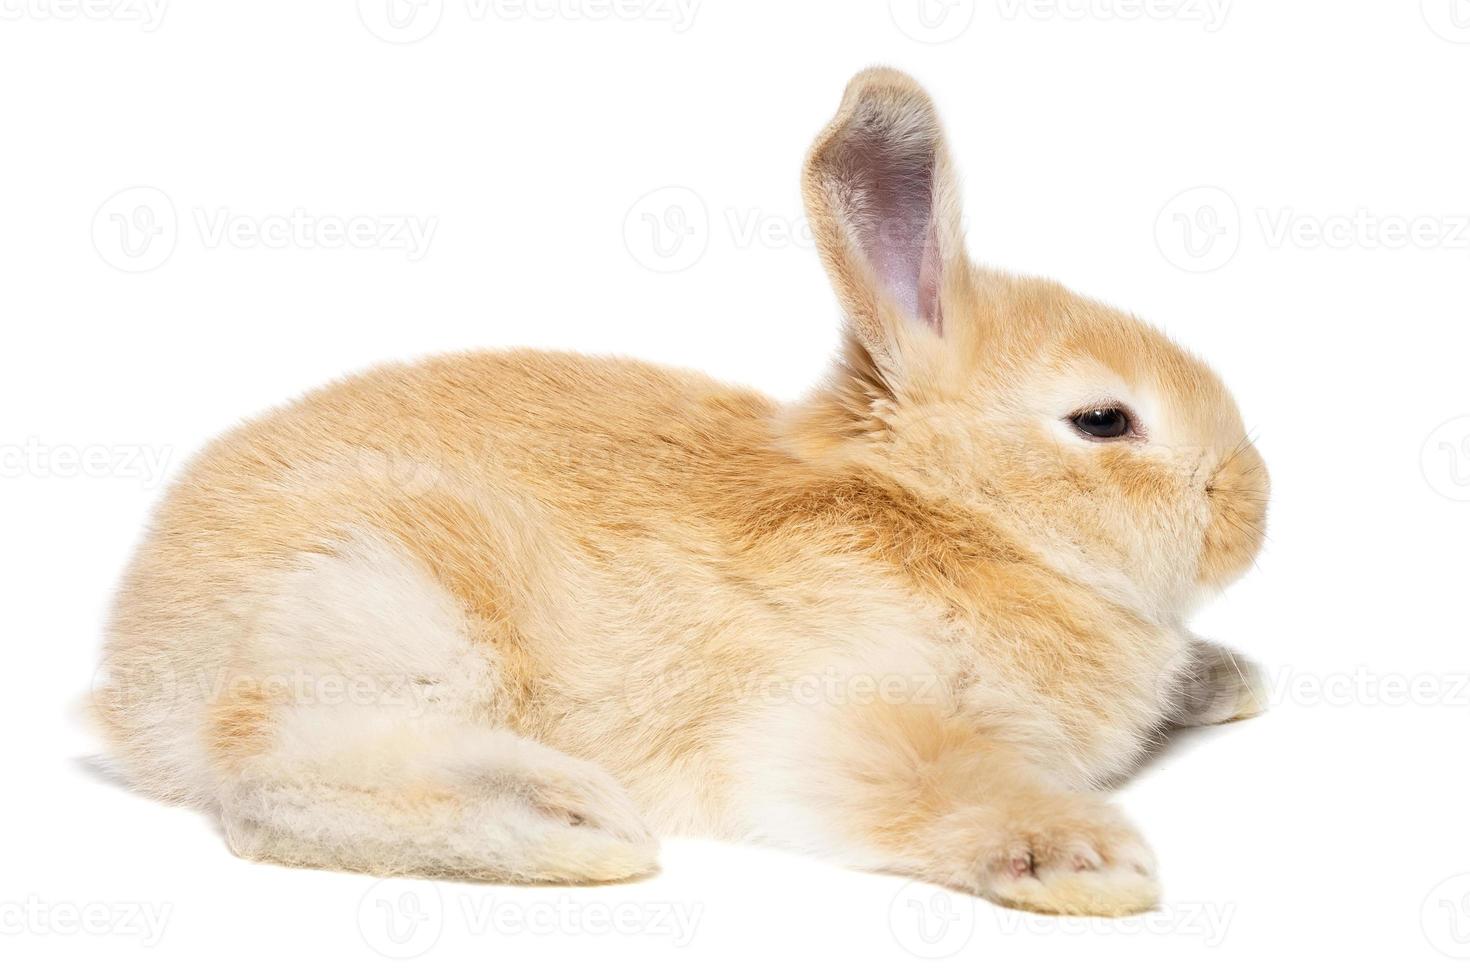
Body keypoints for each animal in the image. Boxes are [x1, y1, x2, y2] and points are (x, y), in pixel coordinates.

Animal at [88, 69, 1264, 922]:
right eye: (1104, 421)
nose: (1252, 504)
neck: (951, 516)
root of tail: (131, 669)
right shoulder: (835, 711)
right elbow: (946, 783)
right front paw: (1091, 861)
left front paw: (1227, 681)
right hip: (387, 601)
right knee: (262, 785)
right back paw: (568, 822)